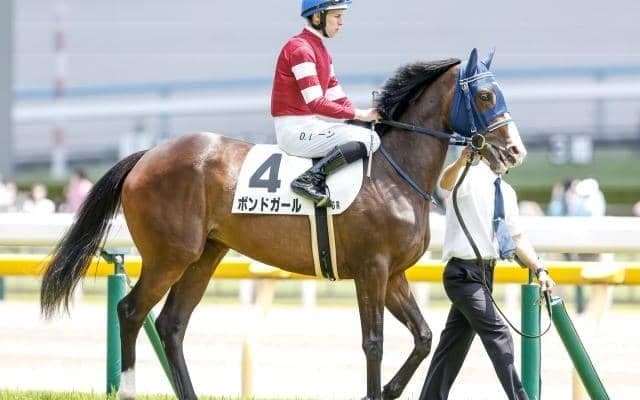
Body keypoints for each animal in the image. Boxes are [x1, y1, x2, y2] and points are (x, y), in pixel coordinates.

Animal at [40, 48, 526, 400]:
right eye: (486, 96)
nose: (515, 151)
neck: (394, 170)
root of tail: (147, 155)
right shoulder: (371, 269)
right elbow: (374, 342)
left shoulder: (393, 275)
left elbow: (423, 338)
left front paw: (389, 390)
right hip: (169, 255)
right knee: (131, 311)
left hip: (204, 255)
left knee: (172, 325)